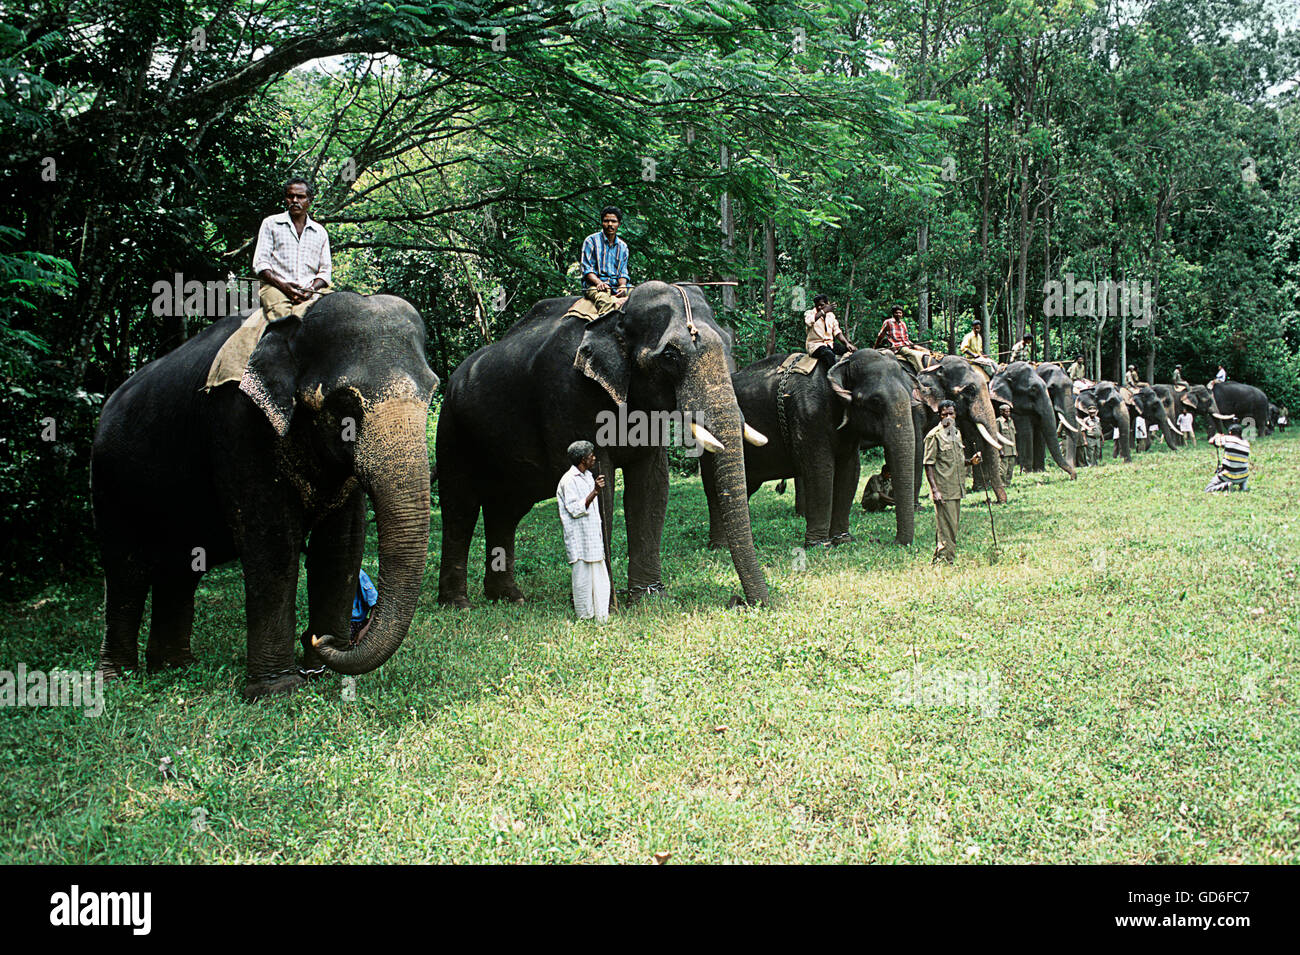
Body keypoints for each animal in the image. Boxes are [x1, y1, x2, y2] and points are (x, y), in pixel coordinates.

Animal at [90, 293, 441, 701]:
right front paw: (278, 689)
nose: (318, 639)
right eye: (344, 405)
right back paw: (117, 678)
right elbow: (273, 543)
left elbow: (342, 543)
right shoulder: (237, 420)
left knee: (181, 567)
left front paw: (322, 673)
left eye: (432, 393)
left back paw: (175, 667)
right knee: (125, 567)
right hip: (109, 478)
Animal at [434, 283, 769, 608]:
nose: (740, 601)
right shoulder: (567, 395)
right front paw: (609, 606)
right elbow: (600, 485)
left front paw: (649, 600)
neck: (616, 317)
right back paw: (459, 604)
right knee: (460, 507)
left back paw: (509, 597)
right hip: (451, 428)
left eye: (727, 344)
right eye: (670, 356)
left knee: (505, 510)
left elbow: (651, 486)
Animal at [702, 348, 925, 548]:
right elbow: (820, 470)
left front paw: (843, 540)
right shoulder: (808, 415)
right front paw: (818, 544)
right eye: (875, 402)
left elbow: (850, 471)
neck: (840, 362)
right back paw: (720, 546)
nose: (891, 542)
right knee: (713, 488)